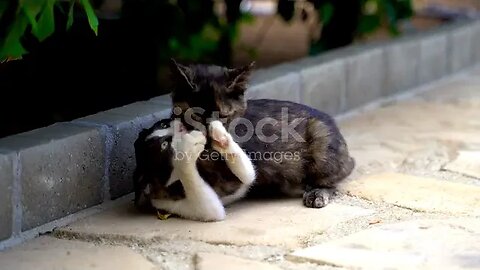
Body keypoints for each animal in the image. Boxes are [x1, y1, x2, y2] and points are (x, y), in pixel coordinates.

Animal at [168, 60, 352, 208]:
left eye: (224, 116)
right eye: (195, 116)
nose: (208, 138)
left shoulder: (234, 176)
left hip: (320, 139)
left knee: (332, 181)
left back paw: (317, 193)